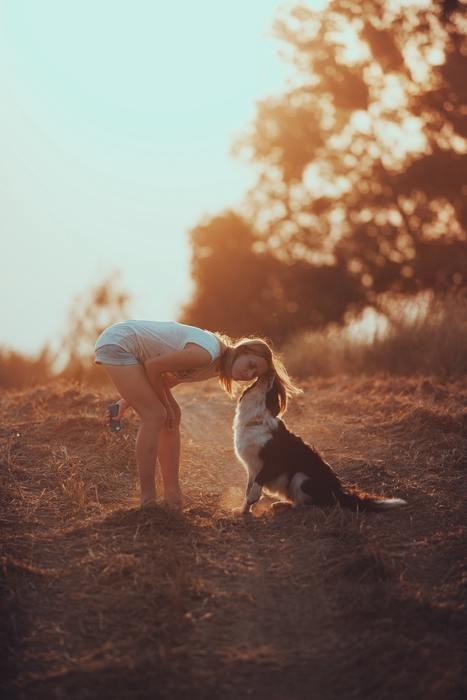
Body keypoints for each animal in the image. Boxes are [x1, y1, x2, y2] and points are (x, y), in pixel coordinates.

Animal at [236, 372, 408, 516]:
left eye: (275, 390)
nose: (270, 371)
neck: (256, 421)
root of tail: (339, 492)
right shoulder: (251, 467)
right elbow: (248, 488)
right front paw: (243, 510)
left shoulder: (273, 462)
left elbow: (258, 482)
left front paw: (252, 499)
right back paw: (281, 504)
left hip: (301, 477)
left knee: (308, 504)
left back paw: (285, 506)